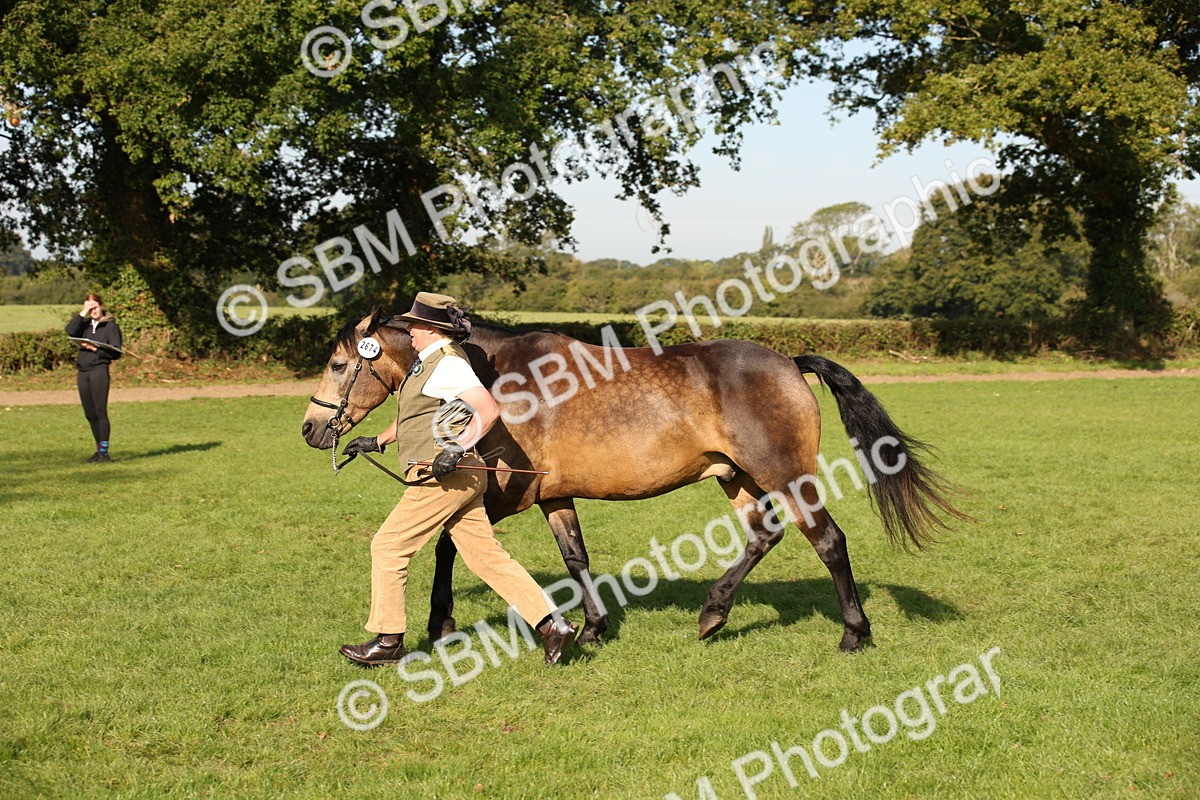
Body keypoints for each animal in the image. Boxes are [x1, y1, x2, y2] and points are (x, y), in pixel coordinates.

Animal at [301, 308, 969, 652]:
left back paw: (854, 633)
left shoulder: (506, 491)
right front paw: (593, 628)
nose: (311, 428)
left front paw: (439, 625)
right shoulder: (553, 495)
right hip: (736, 477)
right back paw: (713, 615)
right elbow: (574, 557)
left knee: (828, 541)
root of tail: (788, 360)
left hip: (784, 474)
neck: (492, 378)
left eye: (337, 363)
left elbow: (446, 545)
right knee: (764, 536)